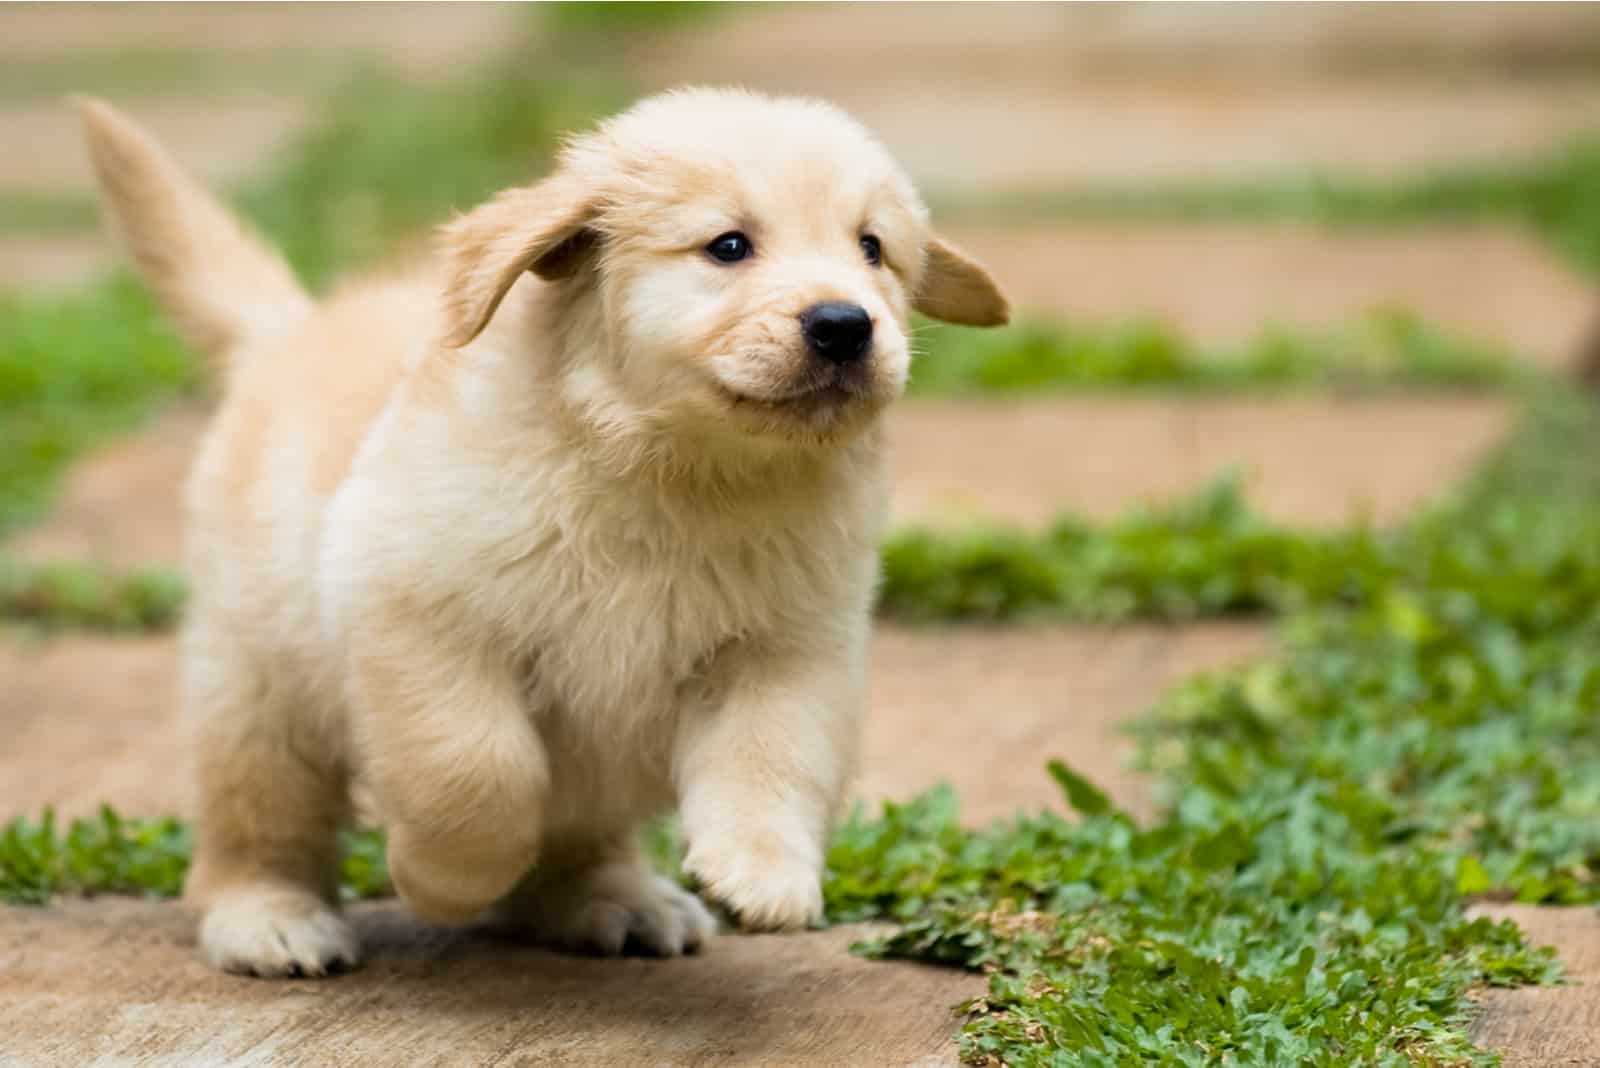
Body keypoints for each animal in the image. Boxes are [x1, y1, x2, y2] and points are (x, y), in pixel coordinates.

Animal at [81, 89, 1004, 978]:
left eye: (873, 249)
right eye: (729, 246)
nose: (846, 324)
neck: (675, 472)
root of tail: (291, 332)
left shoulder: (792, 648)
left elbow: (775, 752)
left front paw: (764, 869)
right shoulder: (416, 612)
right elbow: (477, 770)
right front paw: (443, 878)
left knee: (579, 836)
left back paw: (613, 898)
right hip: (255, 687)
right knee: (255, 829)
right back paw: (269, 917)